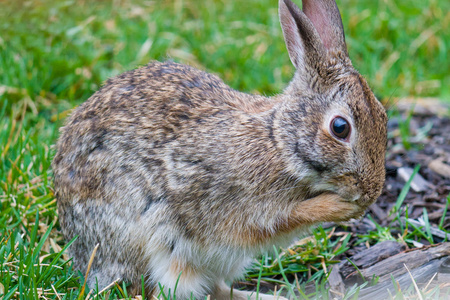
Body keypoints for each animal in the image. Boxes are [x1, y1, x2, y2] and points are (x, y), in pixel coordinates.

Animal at [51, 0, 386, 298]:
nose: (371, 191)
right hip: (154, 249)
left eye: (383, 116)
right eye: (340, 128)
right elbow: (288, 216)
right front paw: (342, 207)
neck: (278, 142)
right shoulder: (242, 207)